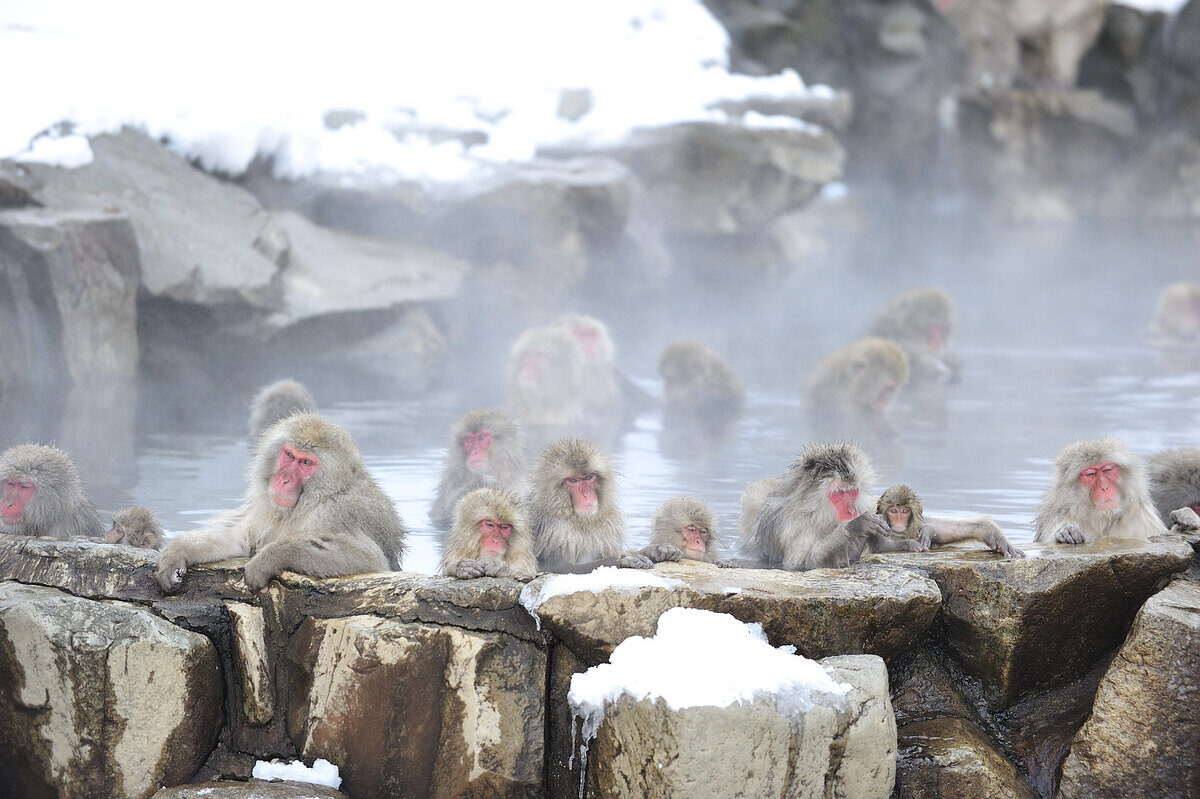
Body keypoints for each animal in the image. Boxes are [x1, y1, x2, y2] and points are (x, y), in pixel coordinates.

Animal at [157, 413, 408, 592]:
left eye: (306, 463)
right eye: (289, 455)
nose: (284, 480)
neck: (309, 502)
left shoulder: (338, 512)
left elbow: (367, 558)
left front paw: (268, 559)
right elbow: (237, 538)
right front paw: (177, 552)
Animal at [528, 437, 679, 573]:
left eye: (589, 477)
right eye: (573, 480)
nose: (586, 495)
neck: (580, 522)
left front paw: (654, 550)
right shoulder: (553, 531)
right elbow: (560, 569)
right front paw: (621, 559)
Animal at [736, 442, 915, 571]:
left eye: (852, 491)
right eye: (838, 493)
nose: (852, 511)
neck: (817, 512)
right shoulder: (793, 526)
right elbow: (803, 563)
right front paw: (858, 525)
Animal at [873, 484, 1024, 558]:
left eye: (905, 511)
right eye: (893, 511)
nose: (899, 522)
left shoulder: (918, 525)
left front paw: (994, 536)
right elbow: (881, 546)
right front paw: (910, 544)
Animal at [1033, 437, 1167, 544]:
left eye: (1108, 469)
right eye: (1090, 474)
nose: (1104, 487)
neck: (1104, 518)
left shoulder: (1144, 522)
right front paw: (1065, 531)